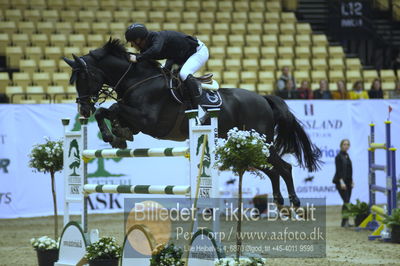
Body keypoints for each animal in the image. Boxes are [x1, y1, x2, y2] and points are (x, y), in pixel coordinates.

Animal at [65, 38, 322, 207]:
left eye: (85, 77)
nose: (83, 109)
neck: (138, 80)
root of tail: (263, 98)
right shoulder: (137, 121)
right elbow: (108, 112)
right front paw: (118, 135)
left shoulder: (150, 121)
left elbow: (112, 109)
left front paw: (113, 135)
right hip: (247, 146)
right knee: (272, 170)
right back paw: (279, 202)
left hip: (261, 143)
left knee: (284, 168)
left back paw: (294, 202)